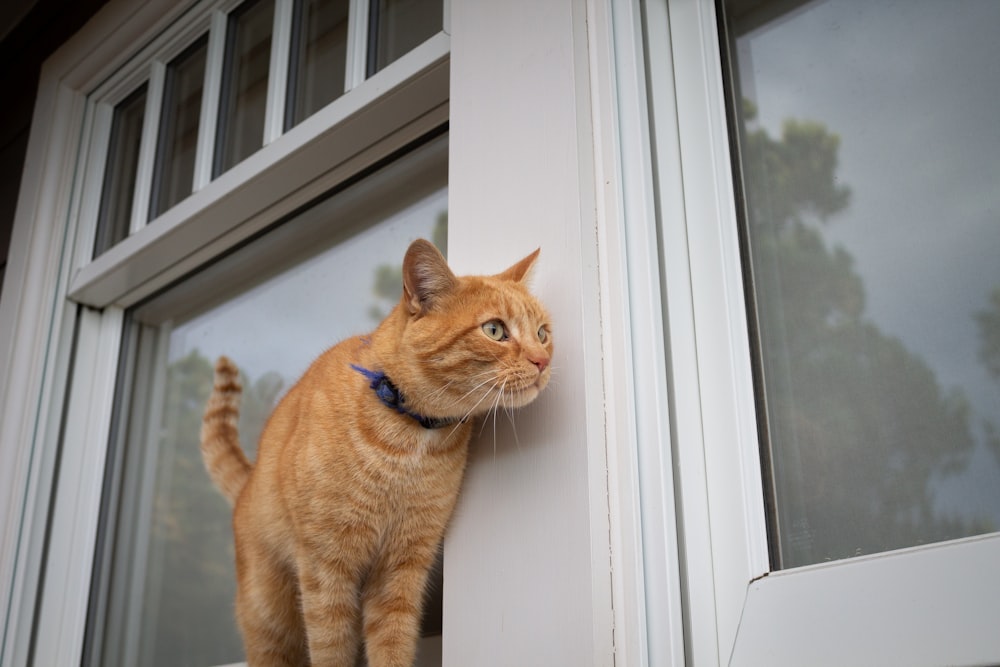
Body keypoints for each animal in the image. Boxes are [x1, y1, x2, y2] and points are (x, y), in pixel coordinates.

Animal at [199, 240, 552, 667]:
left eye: (543, 333)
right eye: (495, 330)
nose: (543, 361)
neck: (412, 437)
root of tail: (247, 485)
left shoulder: (401, 568)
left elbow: (391, 645)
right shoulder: (326, 568)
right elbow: (332, 650)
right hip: (271, 621)